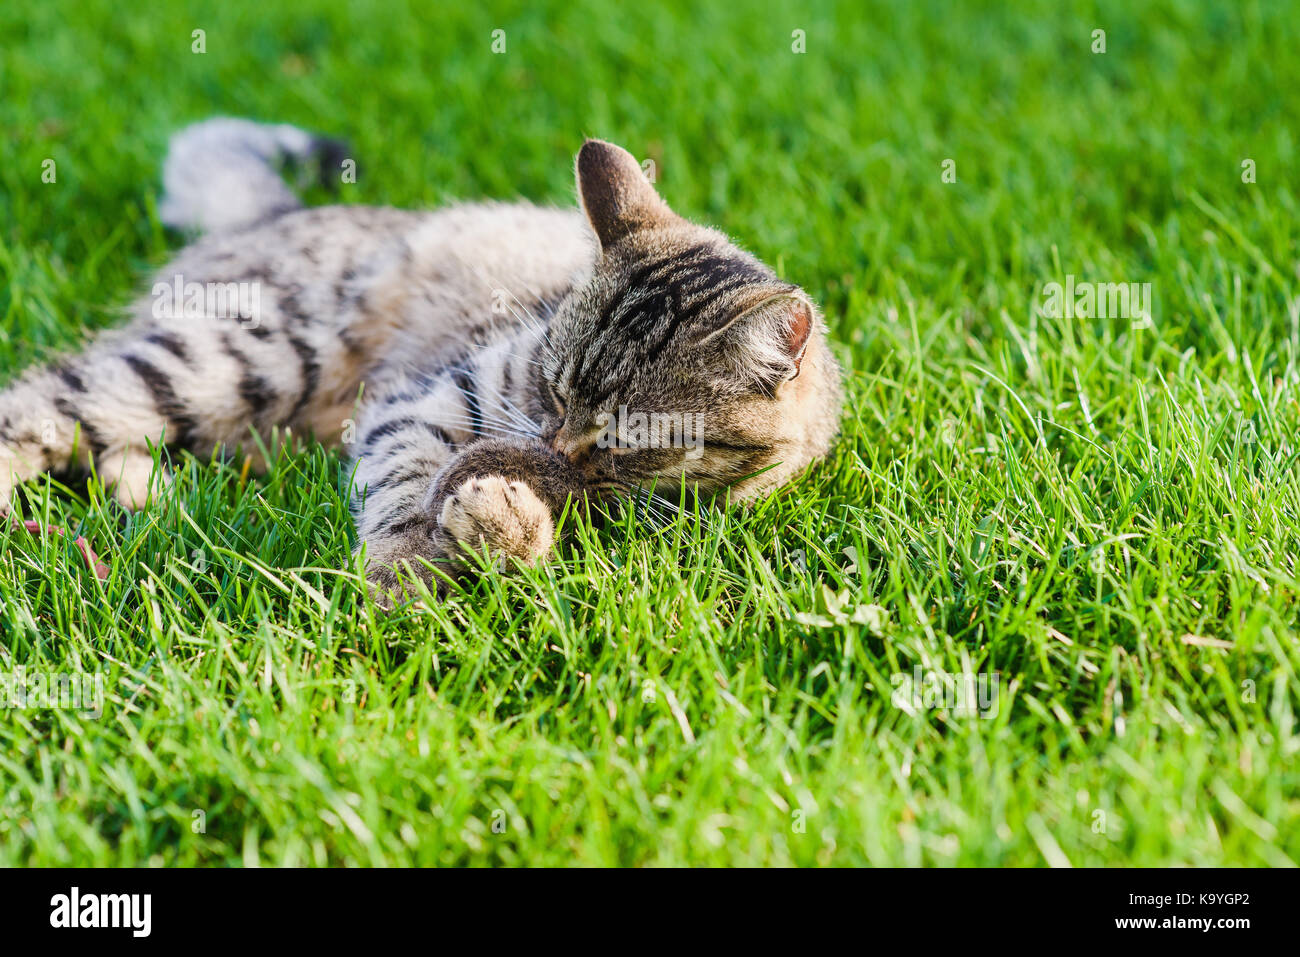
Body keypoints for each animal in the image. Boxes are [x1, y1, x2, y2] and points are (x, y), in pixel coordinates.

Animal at [0, 117, 842, 598]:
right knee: (43, 401)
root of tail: (279, 213)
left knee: (115, 442)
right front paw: (406, 574)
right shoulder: (422, 404)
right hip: (247, 360)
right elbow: (405, 486)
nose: (557, 443)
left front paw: (505, 525)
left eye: (630, 435)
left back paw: (157, 501)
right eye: (554, 388)